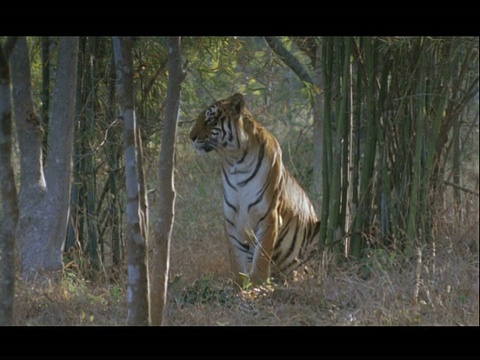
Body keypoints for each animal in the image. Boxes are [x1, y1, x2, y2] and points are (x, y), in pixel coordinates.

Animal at [189, 94, 320, 288]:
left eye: (210, 119)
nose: (190, 137)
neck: (235, 161)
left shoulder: (269, 216)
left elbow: (262, 256)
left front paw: (258, 285)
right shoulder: (232, 219)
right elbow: (236, 258)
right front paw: (239, 285)